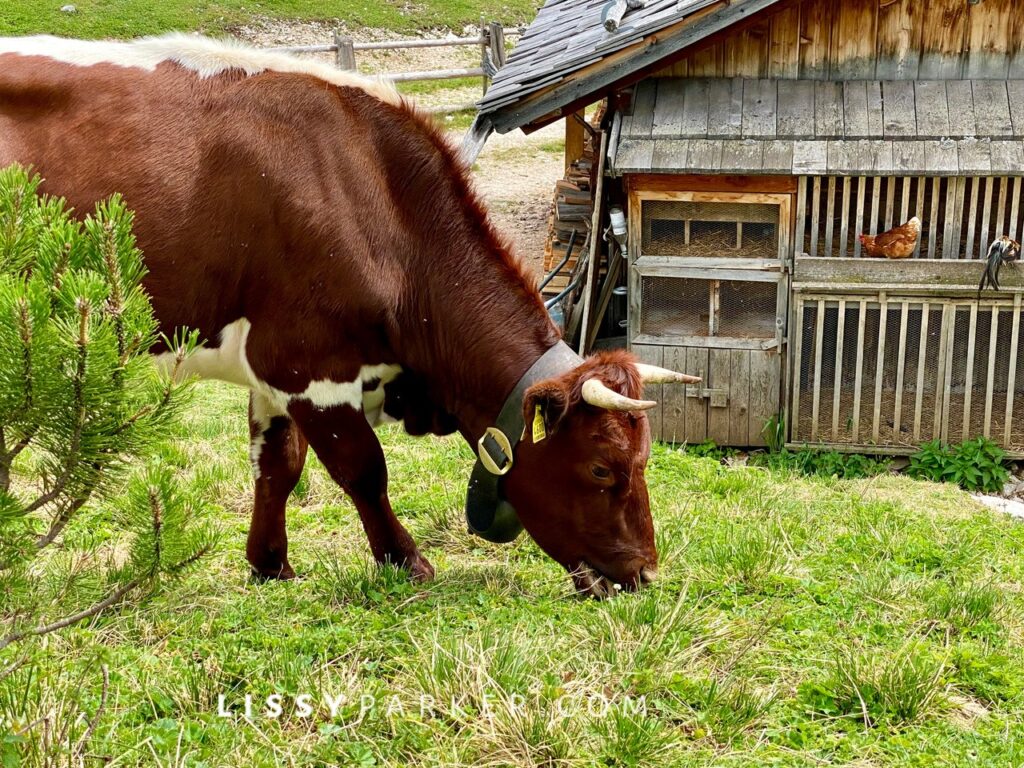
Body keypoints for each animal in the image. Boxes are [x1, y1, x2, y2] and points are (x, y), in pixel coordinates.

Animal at [0, 34, 696, 602]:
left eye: (644, 461)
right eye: (602, 468)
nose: (643, 573)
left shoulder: (273, 374)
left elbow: (277, 466)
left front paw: (269, 563)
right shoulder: (309, 362)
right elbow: (363, 468)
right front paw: (406, 560)